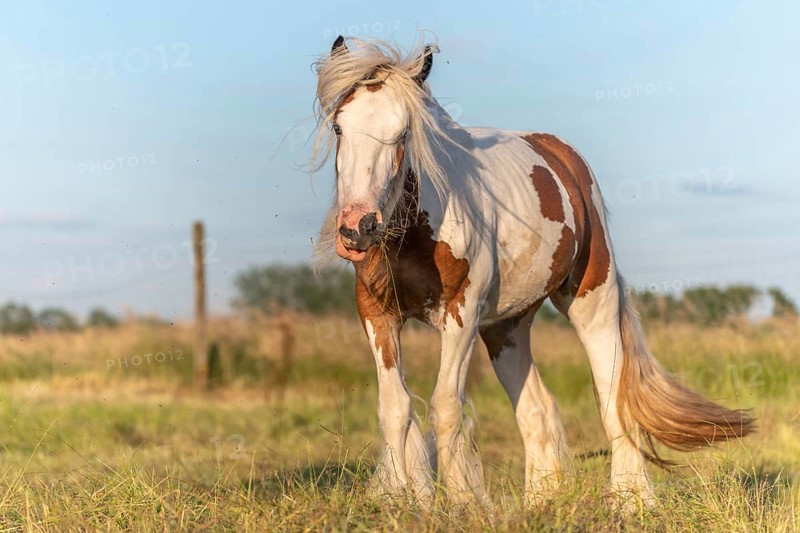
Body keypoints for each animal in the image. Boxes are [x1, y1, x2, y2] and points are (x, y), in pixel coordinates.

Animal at [310, 36, 755, 507]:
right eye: (339, 128)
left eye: (403, 133)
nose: (358, 227)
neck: (416, 231)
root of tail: (563, 156)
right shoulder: (378, 314)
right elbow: (394, 409)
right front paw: (406, 502)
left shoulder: (462, 314)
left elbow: (445, 406)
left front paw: (464, 503)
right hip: (507, 328)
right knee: (537, 407)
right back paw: (542, 500)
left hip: (592, 303)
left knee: (612, 398)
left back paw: (631, 499)